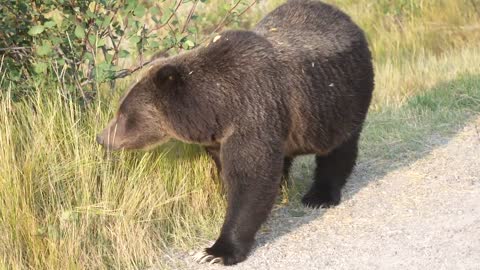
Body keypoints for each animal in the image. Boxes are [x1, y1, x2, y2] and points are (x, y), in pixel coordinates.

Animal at [96, 0, 376, 266]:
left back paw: (319, 195)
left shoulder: (253, 114)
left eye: (123, 114)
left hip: (340, 98)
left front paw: (215, 251)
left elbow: (250, 180)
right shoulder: (222, 136)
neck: (216, 107)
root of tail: (347, 18)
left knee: (339, 148)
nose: (101, 137)